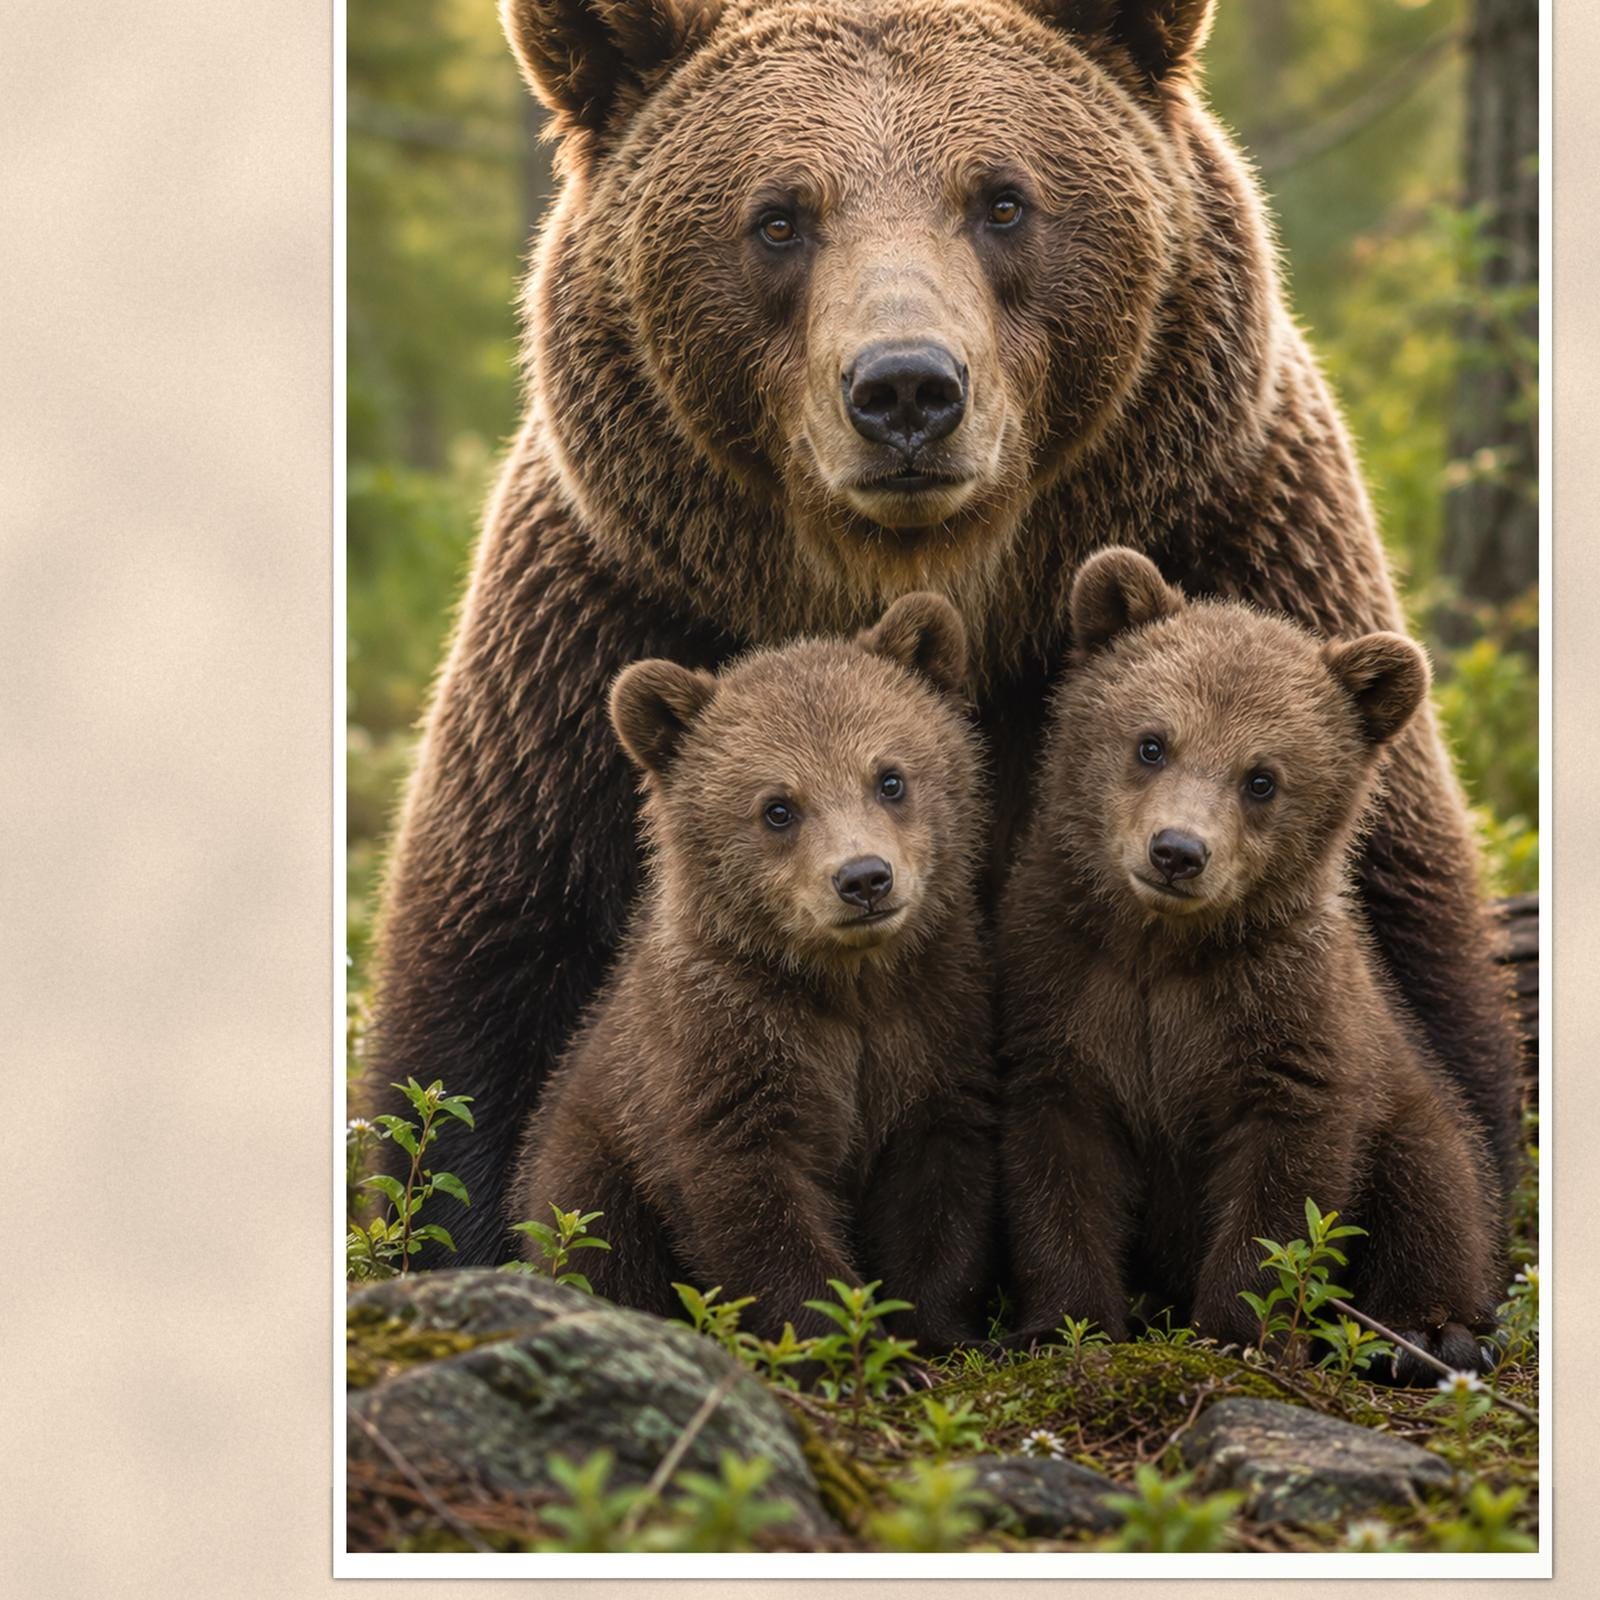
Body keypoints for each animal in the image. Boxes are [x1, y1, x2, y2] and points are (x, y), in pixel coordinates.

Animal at [362, 0, 1520, 1266]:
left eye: (1002, 200)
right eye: (778, 217)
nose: (907, 389)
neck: (944, 584)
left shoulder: (1246, 543)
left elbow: (1401, 965)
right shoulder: (598, 632)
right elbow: (485, 1007)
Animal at [508, 593, 995, 1348]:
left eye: (890, 778)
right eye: (778, 807)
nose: (864, 878)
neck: (848, 986)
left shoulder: (933, 1024)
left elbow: (939, 1188)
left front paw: (934, 1331)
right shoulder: (722, 1045)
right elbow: (750, 1202)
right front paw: (838, 1336)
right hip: (586, 1157)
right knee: (598, 1244)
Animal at [998, 548, 1501, 1381]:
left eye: (1262, 778)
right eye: (1151, 742)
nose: (1177, 851)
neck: (1163, 950)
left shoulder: (1288, 1016)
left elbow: (1285, 1187)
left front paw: (1240, 1330)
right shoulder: (1063, 992)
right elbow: (1056, 1166)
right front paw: (1064, 1324)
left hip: (1405, 1094)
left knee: (1434, 1179)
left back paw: (1430, 1333)